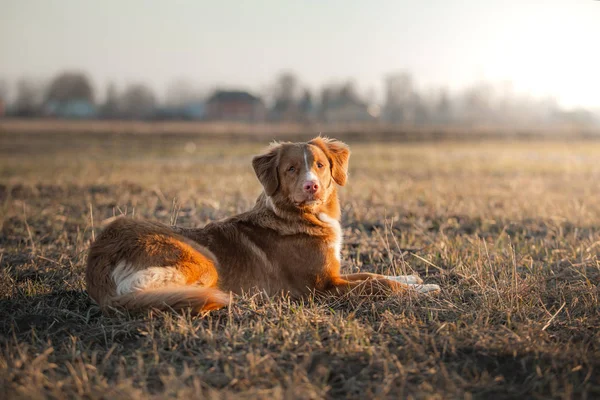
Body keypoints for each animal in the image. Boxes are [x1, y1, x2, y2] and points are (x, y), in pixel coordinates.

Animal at [85, 136, 440, 314]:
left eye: (321, 165)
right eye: (291, 169)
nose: (312, 186)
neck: (297, 216)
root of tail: (100, 255)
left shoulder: (334, 274)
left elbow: (373, 274)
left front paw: (413, 278)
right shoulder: (323, 288)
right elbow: (377, 284)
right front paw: (422, 290)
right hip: (201, 260)